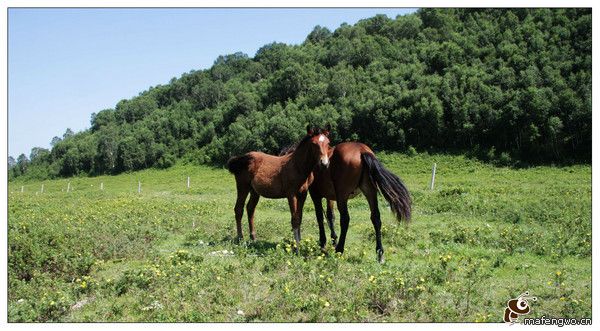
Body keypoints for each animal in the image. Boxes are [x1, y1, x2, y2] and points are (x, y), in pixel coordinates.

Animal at [282, 141, 412, 264]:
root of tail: (361, 151)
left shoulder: (316, 195)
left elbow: (320, 217)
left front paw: (323, 243)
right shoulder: (331, 197)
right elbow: (330, 216)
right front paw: (333, 239)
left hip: (343, 196)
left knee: (345, 219)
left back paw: (339, 249)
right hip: (370, 192)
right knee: (376, 218)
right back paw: (379, 253)